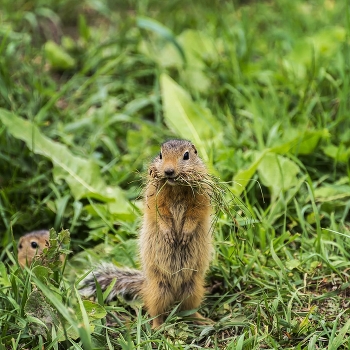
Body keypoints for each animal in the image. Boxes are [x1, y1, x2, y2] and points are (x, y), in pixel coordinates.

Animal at [81, 139, 213, 328]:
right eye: (160, 154)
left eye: (186, 155)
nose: (168, 171)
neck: (176, 187)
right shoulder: (154, 196)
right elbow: (159, 214)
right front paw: (169, 234)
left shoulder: (202, 196)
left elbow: (196, 213)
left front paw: (185, 233)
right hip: (159, 290)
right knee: (156, 311)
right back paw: (158, 327)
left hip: (193, 288)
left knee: (188, 310)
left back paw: (205, 320)